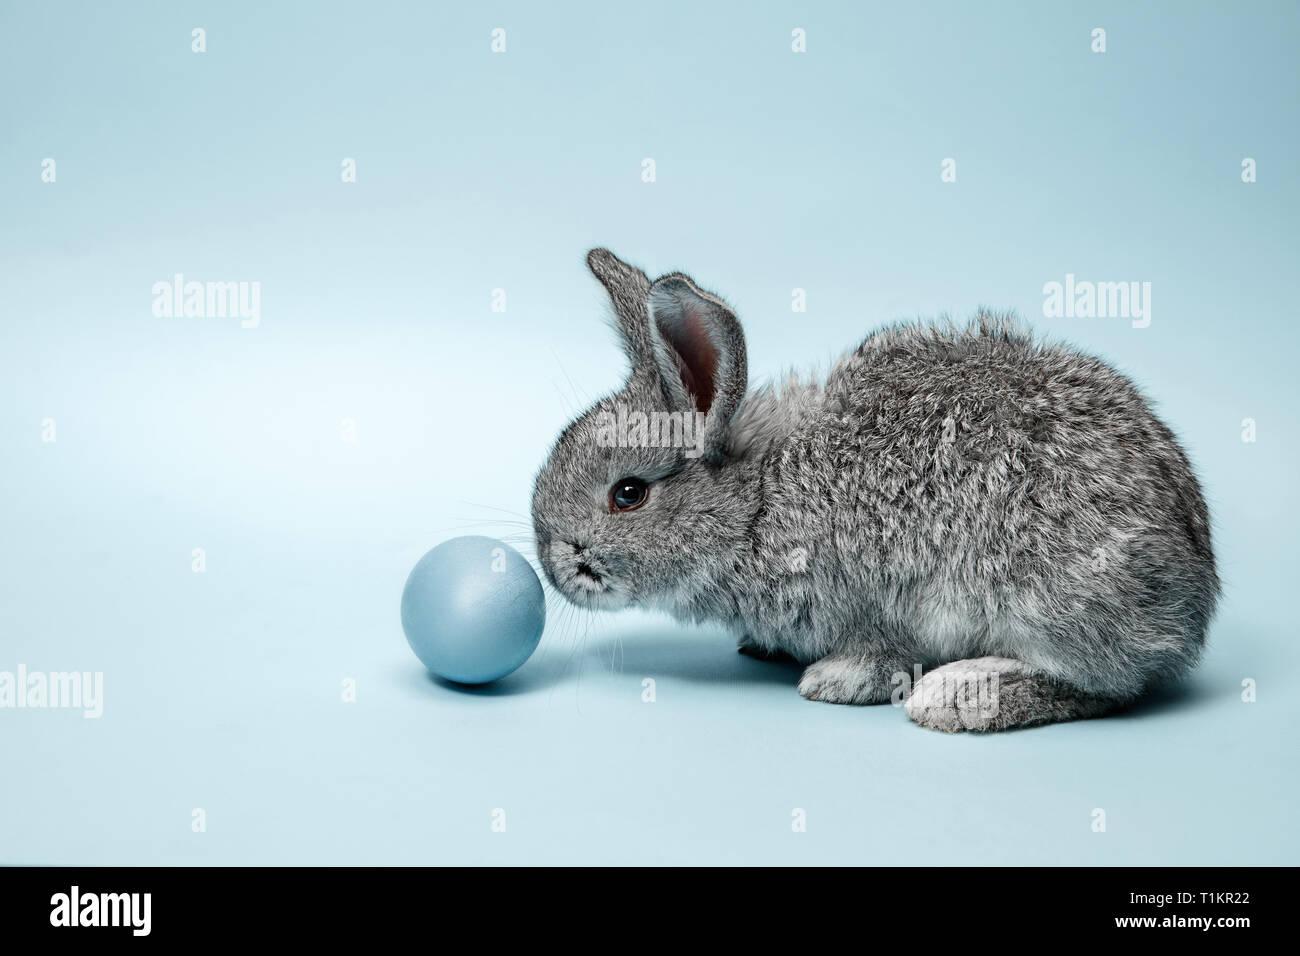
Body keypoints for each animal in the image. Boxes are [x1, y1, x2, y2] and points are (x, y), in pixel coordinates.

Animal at [531, 249, 1220, 732]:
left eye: (628, 494)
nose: (554, 563)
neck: (759, 504)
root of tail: (1193, 603)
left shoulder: (882, 603)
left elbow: (881, 654)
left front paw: (834, 681)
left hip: (1047, 601)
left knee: (1107, 686)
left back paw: (958, 696)